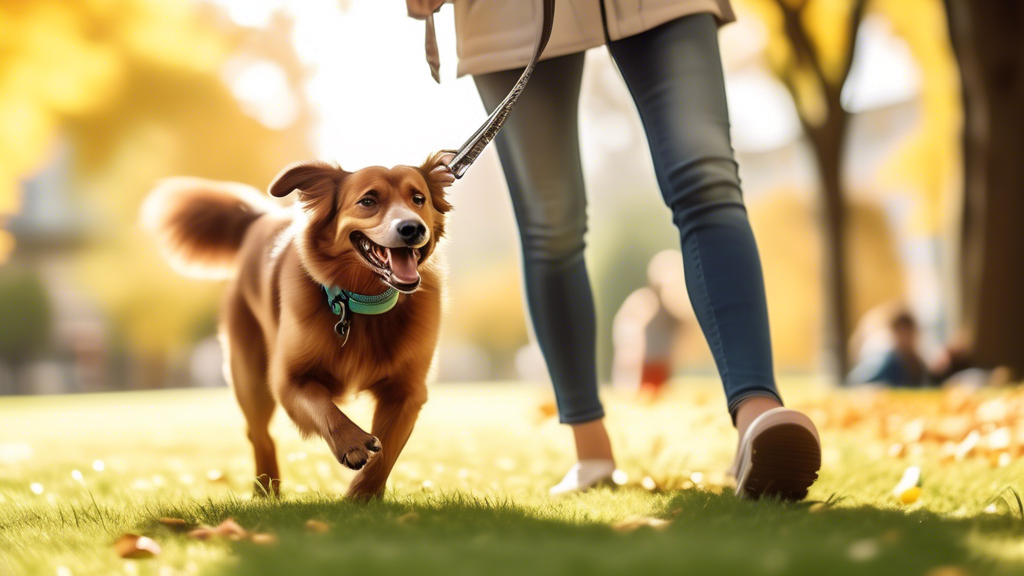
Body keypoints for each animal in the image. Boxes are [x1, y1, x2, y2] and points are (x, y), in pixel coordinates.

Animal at [143, 152, 452, 498]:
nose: (412, 228)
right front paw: (352, 443)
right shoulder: (288, 379)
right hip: (250, 378)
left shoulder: (407, 392)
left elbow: (384, 456)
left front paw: (361, 498)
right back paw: (267, 490)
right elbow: (320, 403)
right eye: (369, 201)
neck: (363, 302)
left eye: (418, 199)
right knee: (259, 435)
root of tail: (259, 219)